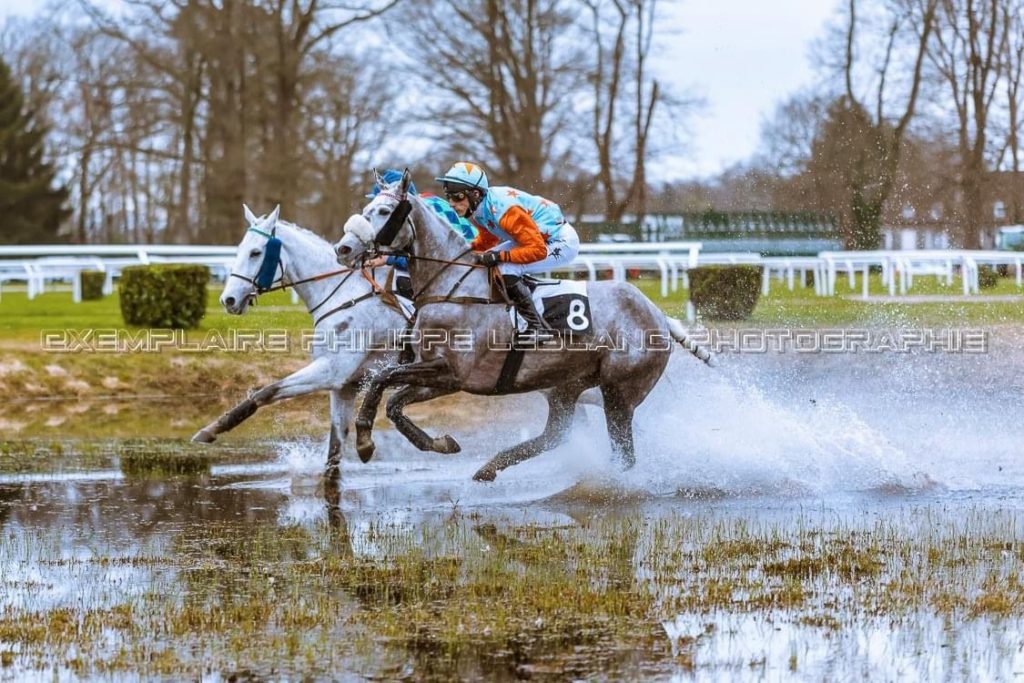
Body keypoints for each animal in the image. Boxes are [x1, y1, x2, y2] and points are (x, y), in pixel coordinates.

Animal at [335, 171, 712, 481]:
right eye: (367, 208)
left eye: (384, 212)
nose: (344, 248)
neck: (452, 287)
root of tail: (657, 314)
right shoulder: (442, 377)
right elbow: (394, 403)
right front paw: (442, 443)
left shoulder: (452, 372)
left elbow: (383, 379)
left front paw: (365, 441)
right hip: (567, 385)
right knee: (556, 435)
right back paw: (490, 468)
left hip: (619, 392)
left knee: (624, 454)